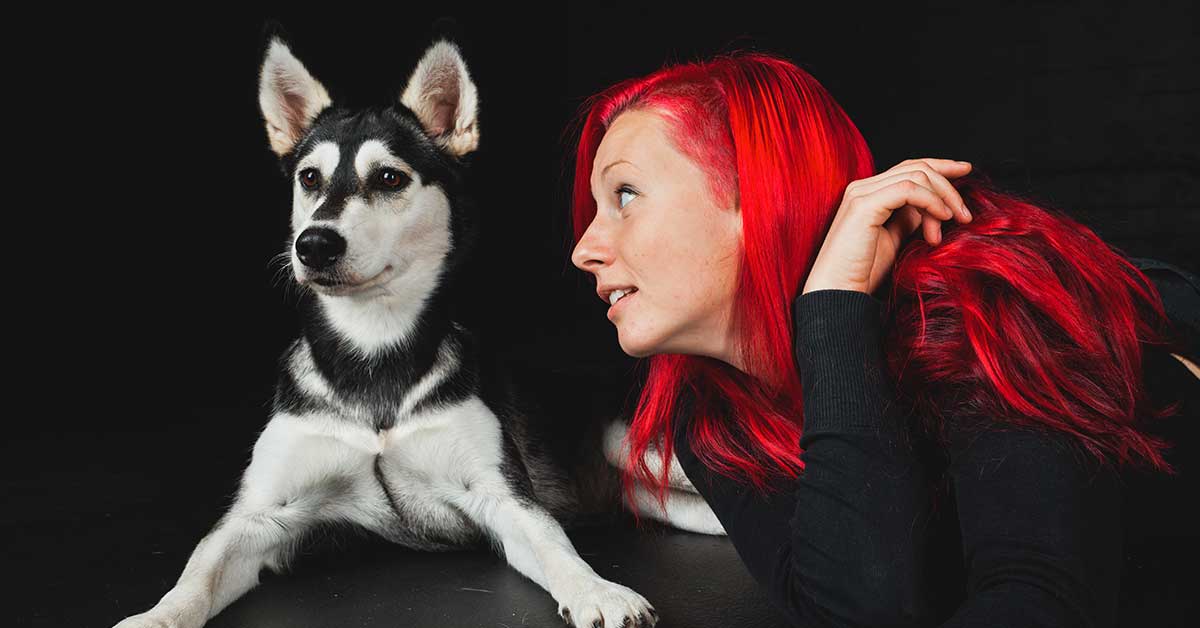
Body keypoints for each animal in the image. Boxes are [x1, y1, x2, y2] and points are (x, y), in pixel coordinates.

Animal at [110, 31, 720, 628]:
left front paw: (598, 591)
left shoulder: (503, 497)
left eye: (388, 178)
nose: (314, 244)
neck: (373, 353)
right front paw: (154, 617)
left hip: (633, 444)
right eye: (309, 178)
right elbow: (197, 574)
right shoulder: (257, 515)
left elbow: (554, 544)